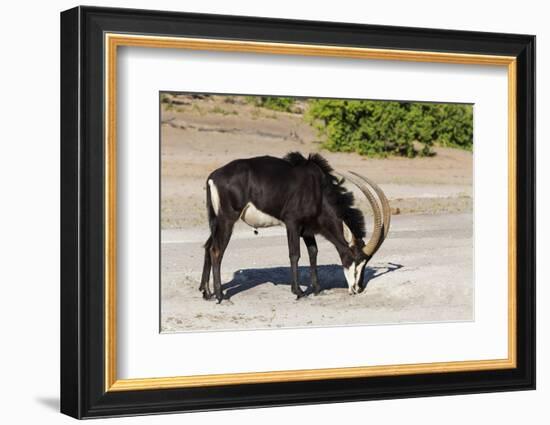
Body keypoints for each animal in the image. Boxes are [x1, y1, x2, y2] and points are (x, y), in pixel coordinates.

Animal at [201, 152, 390, 302]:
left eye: (365, 263)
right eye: (355, 258)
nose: (358, 289)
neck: (318, 190)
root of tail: (213, 177)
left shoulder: (307, 229)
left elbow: (313, 252)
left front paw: (317, 289)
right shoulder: (292, 223)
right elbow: (295, 254)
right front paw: (298, 291)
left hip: (216, 221)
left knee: (208, 247)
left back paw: (206, 292)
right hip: (227, 220)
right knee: (216, 250)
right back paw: (220, 296)